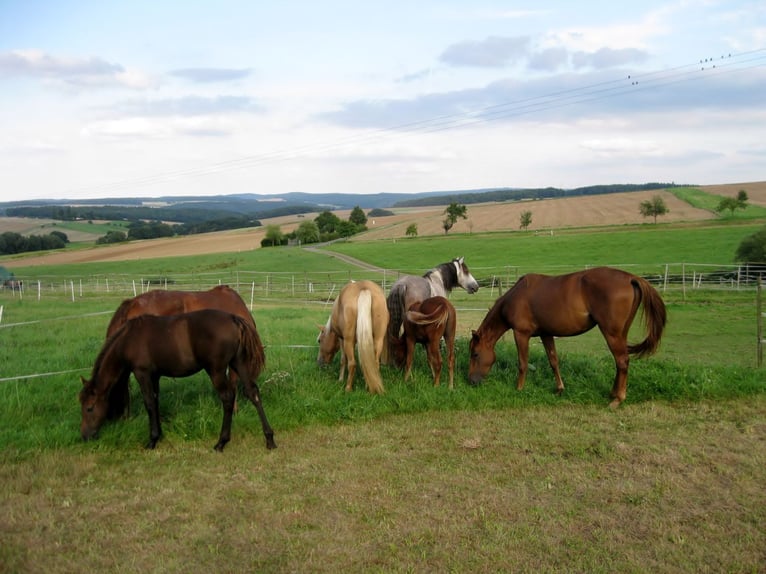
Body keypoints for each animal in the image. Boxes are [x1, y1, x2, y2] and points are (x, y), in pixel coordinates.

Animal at [77, 308, 276, 452]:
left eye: (89, 408)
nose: (85, 436)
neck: (128, 338)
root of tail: (234, 319)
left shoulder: (142, 373)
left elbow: (149, 403)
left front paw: (152, 441)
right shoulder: (155, 375)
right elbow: (155, 401)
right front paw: (159, 435)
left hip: (217, 370)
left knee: (227, 398)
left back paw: (221, 442)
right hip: (238, 363)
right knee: (252, 392)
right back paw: (269, 439)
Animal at [468, 266, 664, 410]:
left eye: (475, 354)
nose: (471, 381)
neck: (516, 297)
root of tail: (630, 277)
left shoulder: (521, 334)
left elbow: (522, 364)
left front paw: (519, 389)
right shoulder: (546, 334)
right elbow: (553, 361)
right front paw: (560, 389)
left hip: (611, 333)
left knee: (622, 361)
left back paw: (617, 399)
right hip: (620, 333)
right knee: (620, 362)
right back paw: (613, 393)